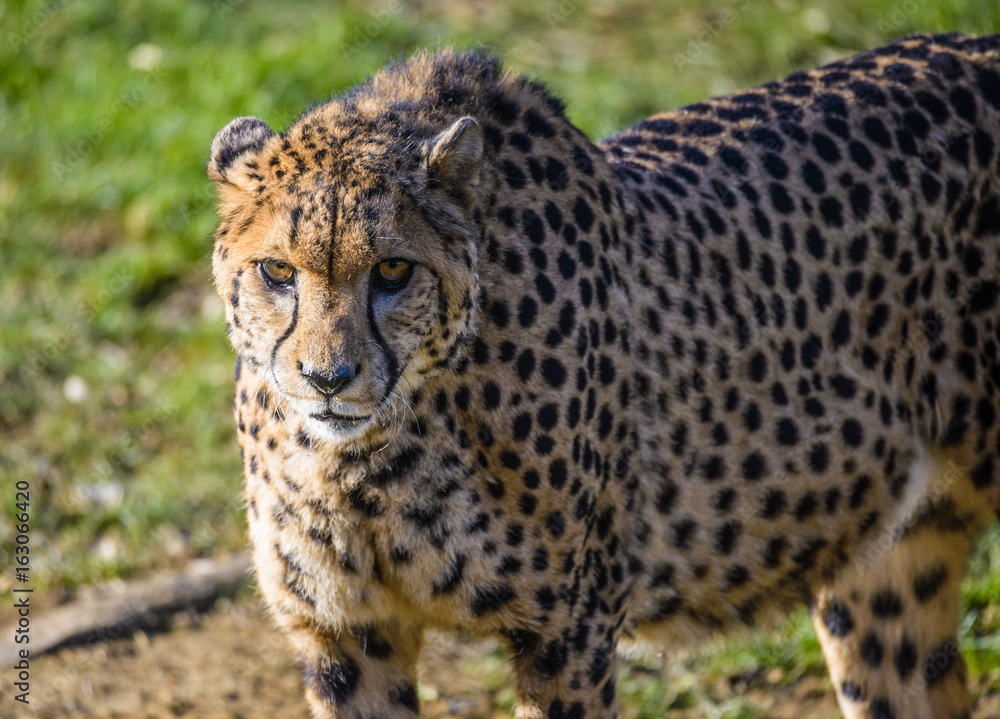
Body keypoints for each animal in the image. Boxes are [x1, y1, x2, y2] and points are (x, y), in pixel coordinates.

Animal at [208, 33, 1000, 719]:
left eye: (394, 270)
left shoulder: (568, 629)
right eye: (277, 270)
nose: (327, 378)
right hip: (889, 565)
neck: (370, 462)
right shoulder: (348, 635)